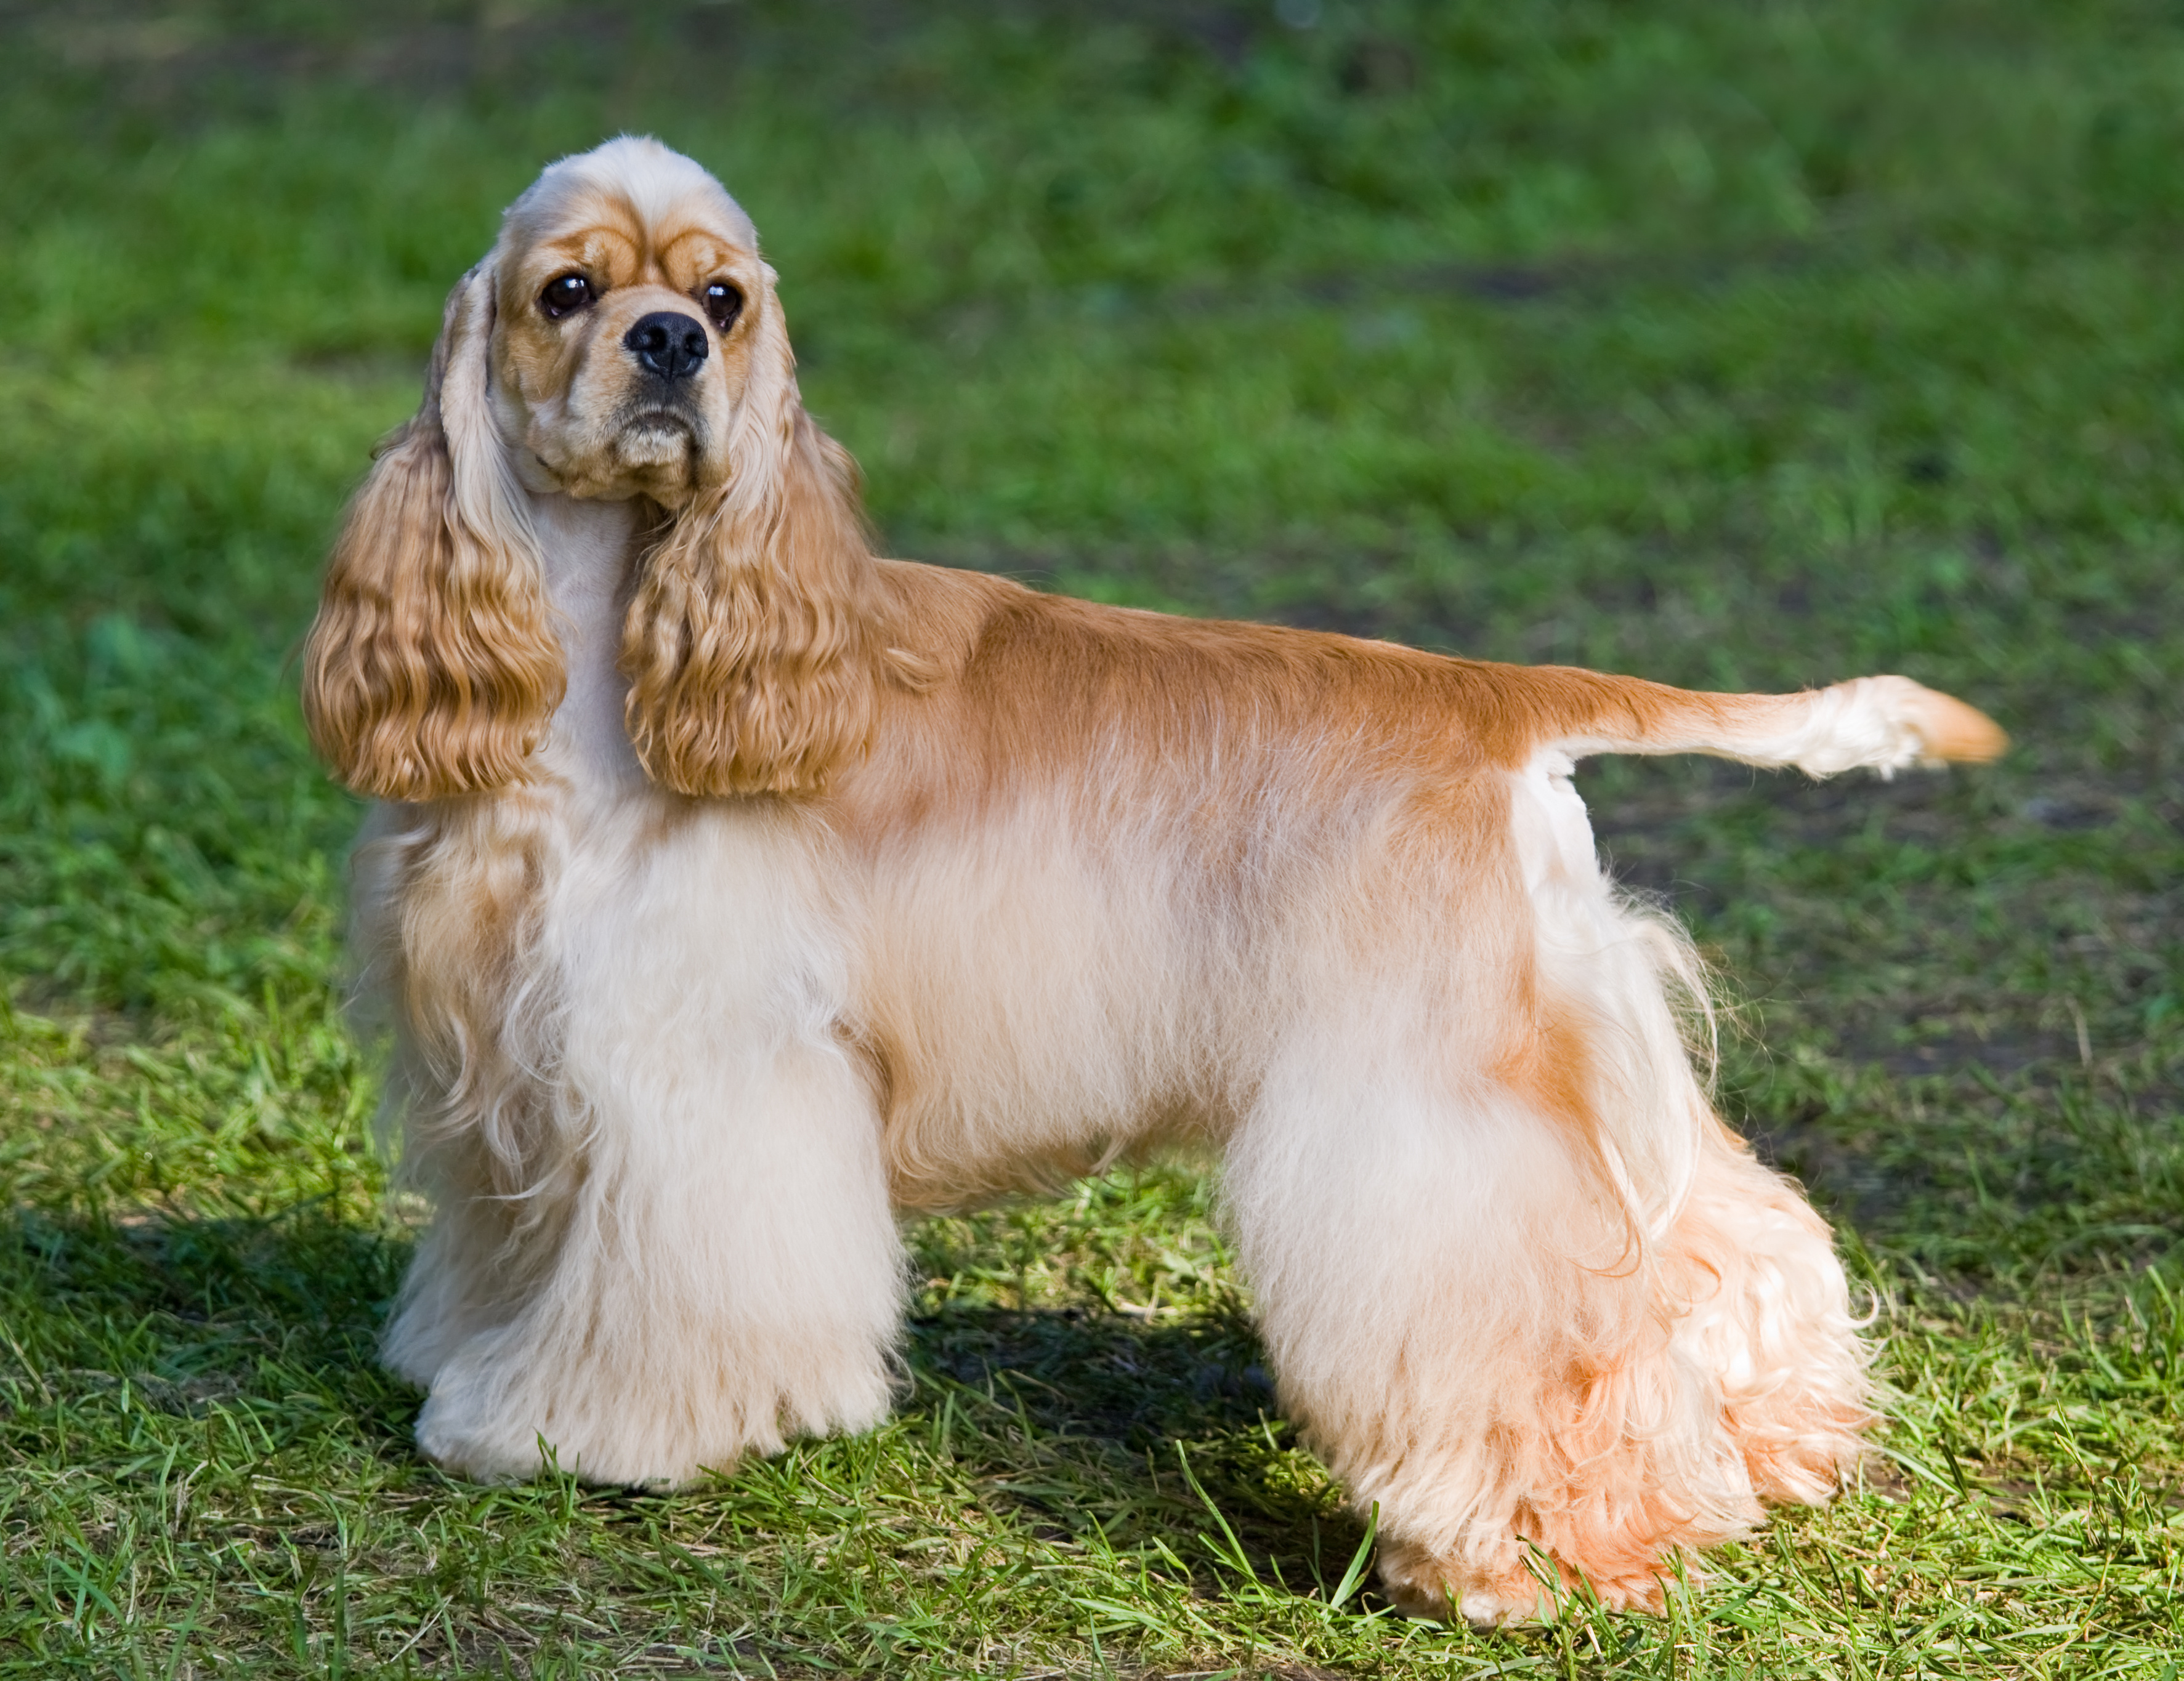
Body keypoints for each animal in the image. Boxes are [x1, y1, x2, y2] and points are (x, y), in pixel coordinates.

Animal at [299, 137, 2000, 1615]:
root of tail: (1495, 699)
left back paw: (1540, 1559)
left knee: (1530, 1329)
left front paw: (569, 1433)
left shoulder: (697, 1064)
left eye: (723, 299)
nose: (665, 344)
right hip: (1559, 1046)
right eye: (567, 291)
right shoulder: (503, 1055)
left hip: (1431, 1110)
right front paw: (466, 1365)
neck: (610, 644)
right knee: (1730, 1236)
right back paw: (1787, 1443)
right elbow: (513, 1241)